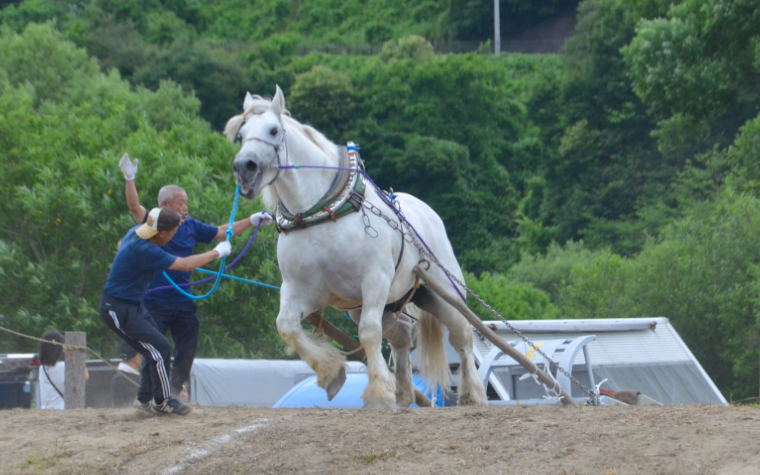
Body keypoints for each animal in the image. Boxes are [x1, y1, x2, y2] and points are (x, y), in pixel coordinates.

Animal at [224, 85, 487, 408]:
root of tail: (427, 212)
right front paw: (331, 373)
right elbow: (286, 326)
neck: (321, 214)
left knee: (462, 334)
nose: (243, 168)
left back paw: (472, 395)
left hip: (443, 292)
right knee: (401, 336)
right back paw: (403, 394)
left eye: (274, 130)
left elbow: (369, 333)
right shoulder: (301, 289)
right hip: (387, 302)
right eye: (241, 134)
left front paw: (377, 393)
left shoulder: (375, 280)